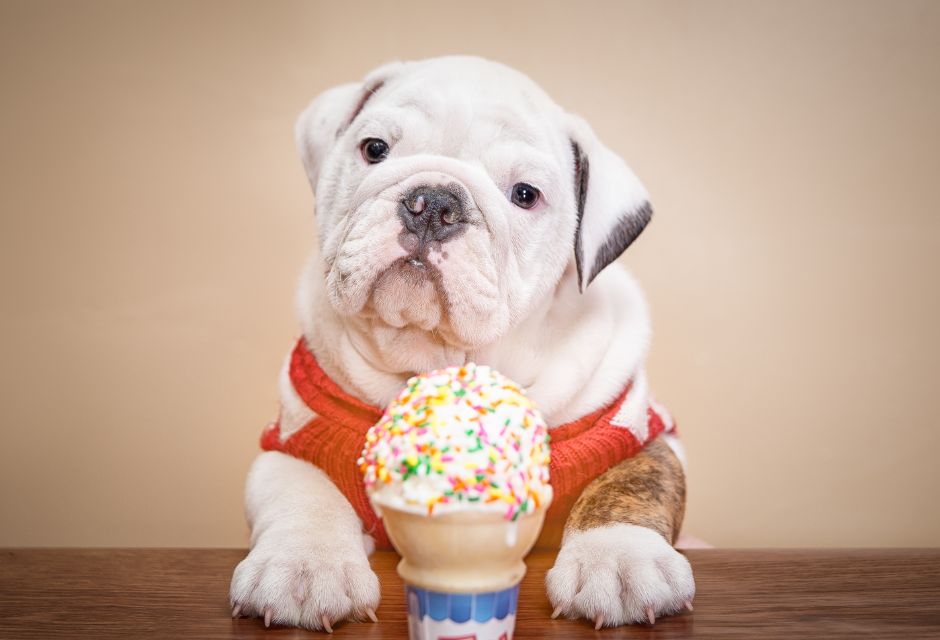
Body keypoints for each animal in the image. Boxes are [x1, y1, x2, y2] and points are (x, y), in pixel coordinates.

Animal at [231, 56, 692, 636]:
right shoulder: (297, 434)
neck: (435, 359)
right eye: (374, 149)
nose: (433, 203)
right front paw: (304, 566)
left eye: (525, 194)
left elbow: (629, 486)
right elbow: (302, 492)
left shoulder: (634, 426)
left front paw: (621, 560)